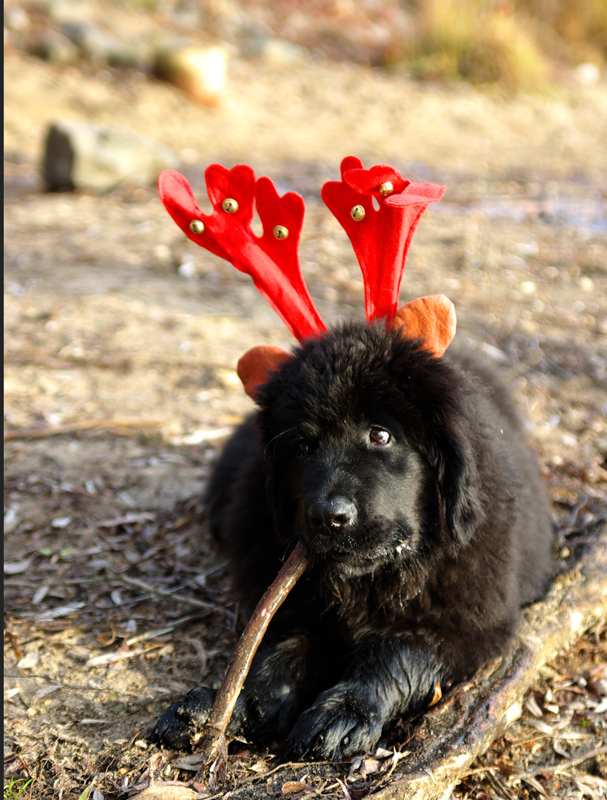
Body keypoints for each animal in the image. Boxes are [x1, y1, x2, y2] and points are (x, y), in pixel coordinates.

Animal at [152, 322, 556, 760]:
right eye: (302, 447)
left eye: (380, 435)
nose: (328, 517)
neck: (366, 585)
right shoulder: (294, 608)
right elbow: (277, 651)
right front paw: (227, 705)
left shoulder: (466, 629)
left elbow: (401, 653)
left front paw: (344, 712)